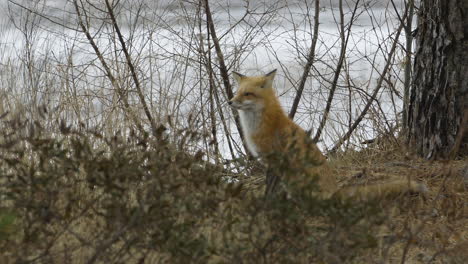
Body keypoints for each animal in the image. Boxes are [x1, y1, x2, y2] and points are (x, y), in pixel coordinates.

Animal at [229, 69, 428, 199]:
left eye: (247, 94)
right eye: (237, 92)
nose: (230, 102)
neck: (258, 126)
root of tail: (334, 191)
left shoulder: (275, 161)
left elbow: (270, 190)